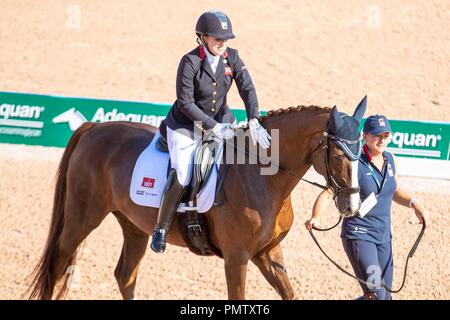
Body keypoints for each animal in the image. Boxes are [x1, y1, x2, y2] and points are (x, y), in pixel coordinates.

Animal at [27, 98, 366, 300]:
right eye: (338, 154)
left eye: (361, 152)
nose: (351, 206)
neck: (263, 177)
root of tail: (94, 128)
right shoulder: (237, 257)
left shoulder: (268, 254)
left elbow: (289, 293)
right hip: (83, 216)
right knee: (58, 262)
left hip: (133, 226)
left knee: (125, 274)